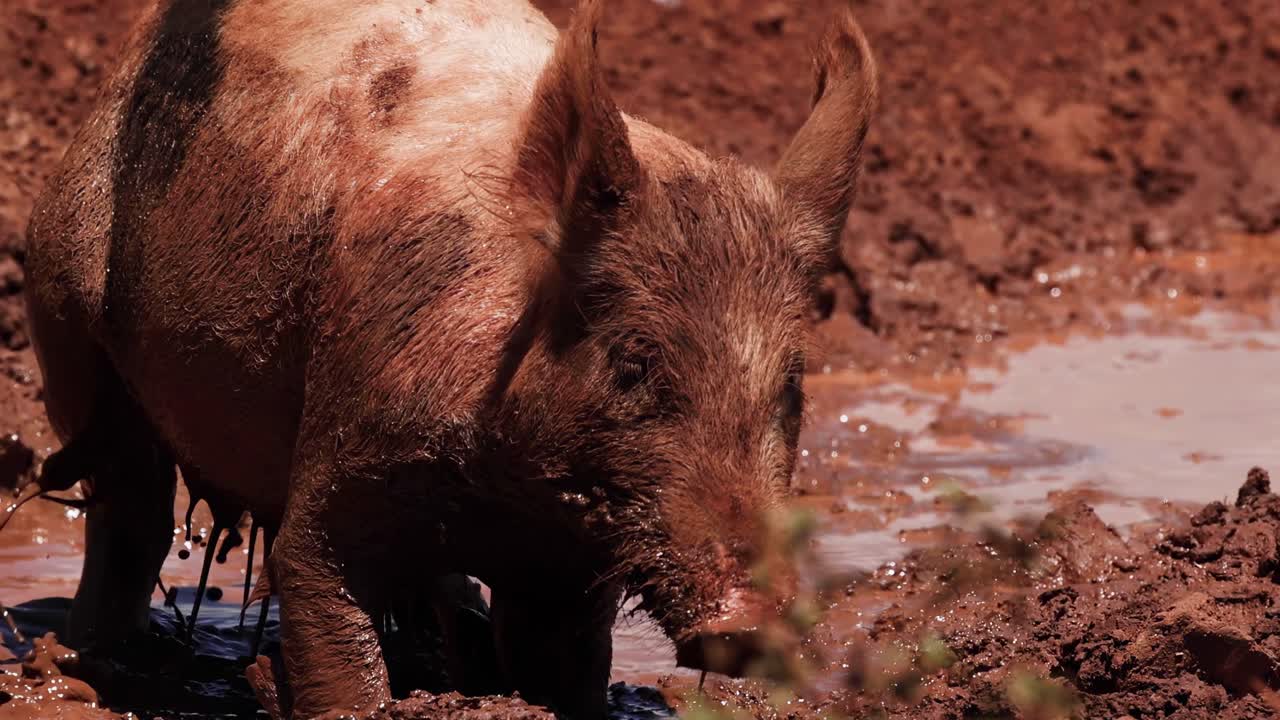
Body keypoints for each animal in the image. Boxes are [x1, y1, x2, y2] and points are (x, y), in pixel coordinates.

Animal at [22, 0, 877, 717]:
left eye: (790, 387)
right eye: (634, 364)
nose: (752, 620)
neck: (504, 489)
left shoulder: (571, 560)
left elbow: (564, 662)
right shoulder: (348, 444)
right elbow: (313, 581)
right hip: (60, 293)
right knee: (129, 506)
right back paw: (82, 662)